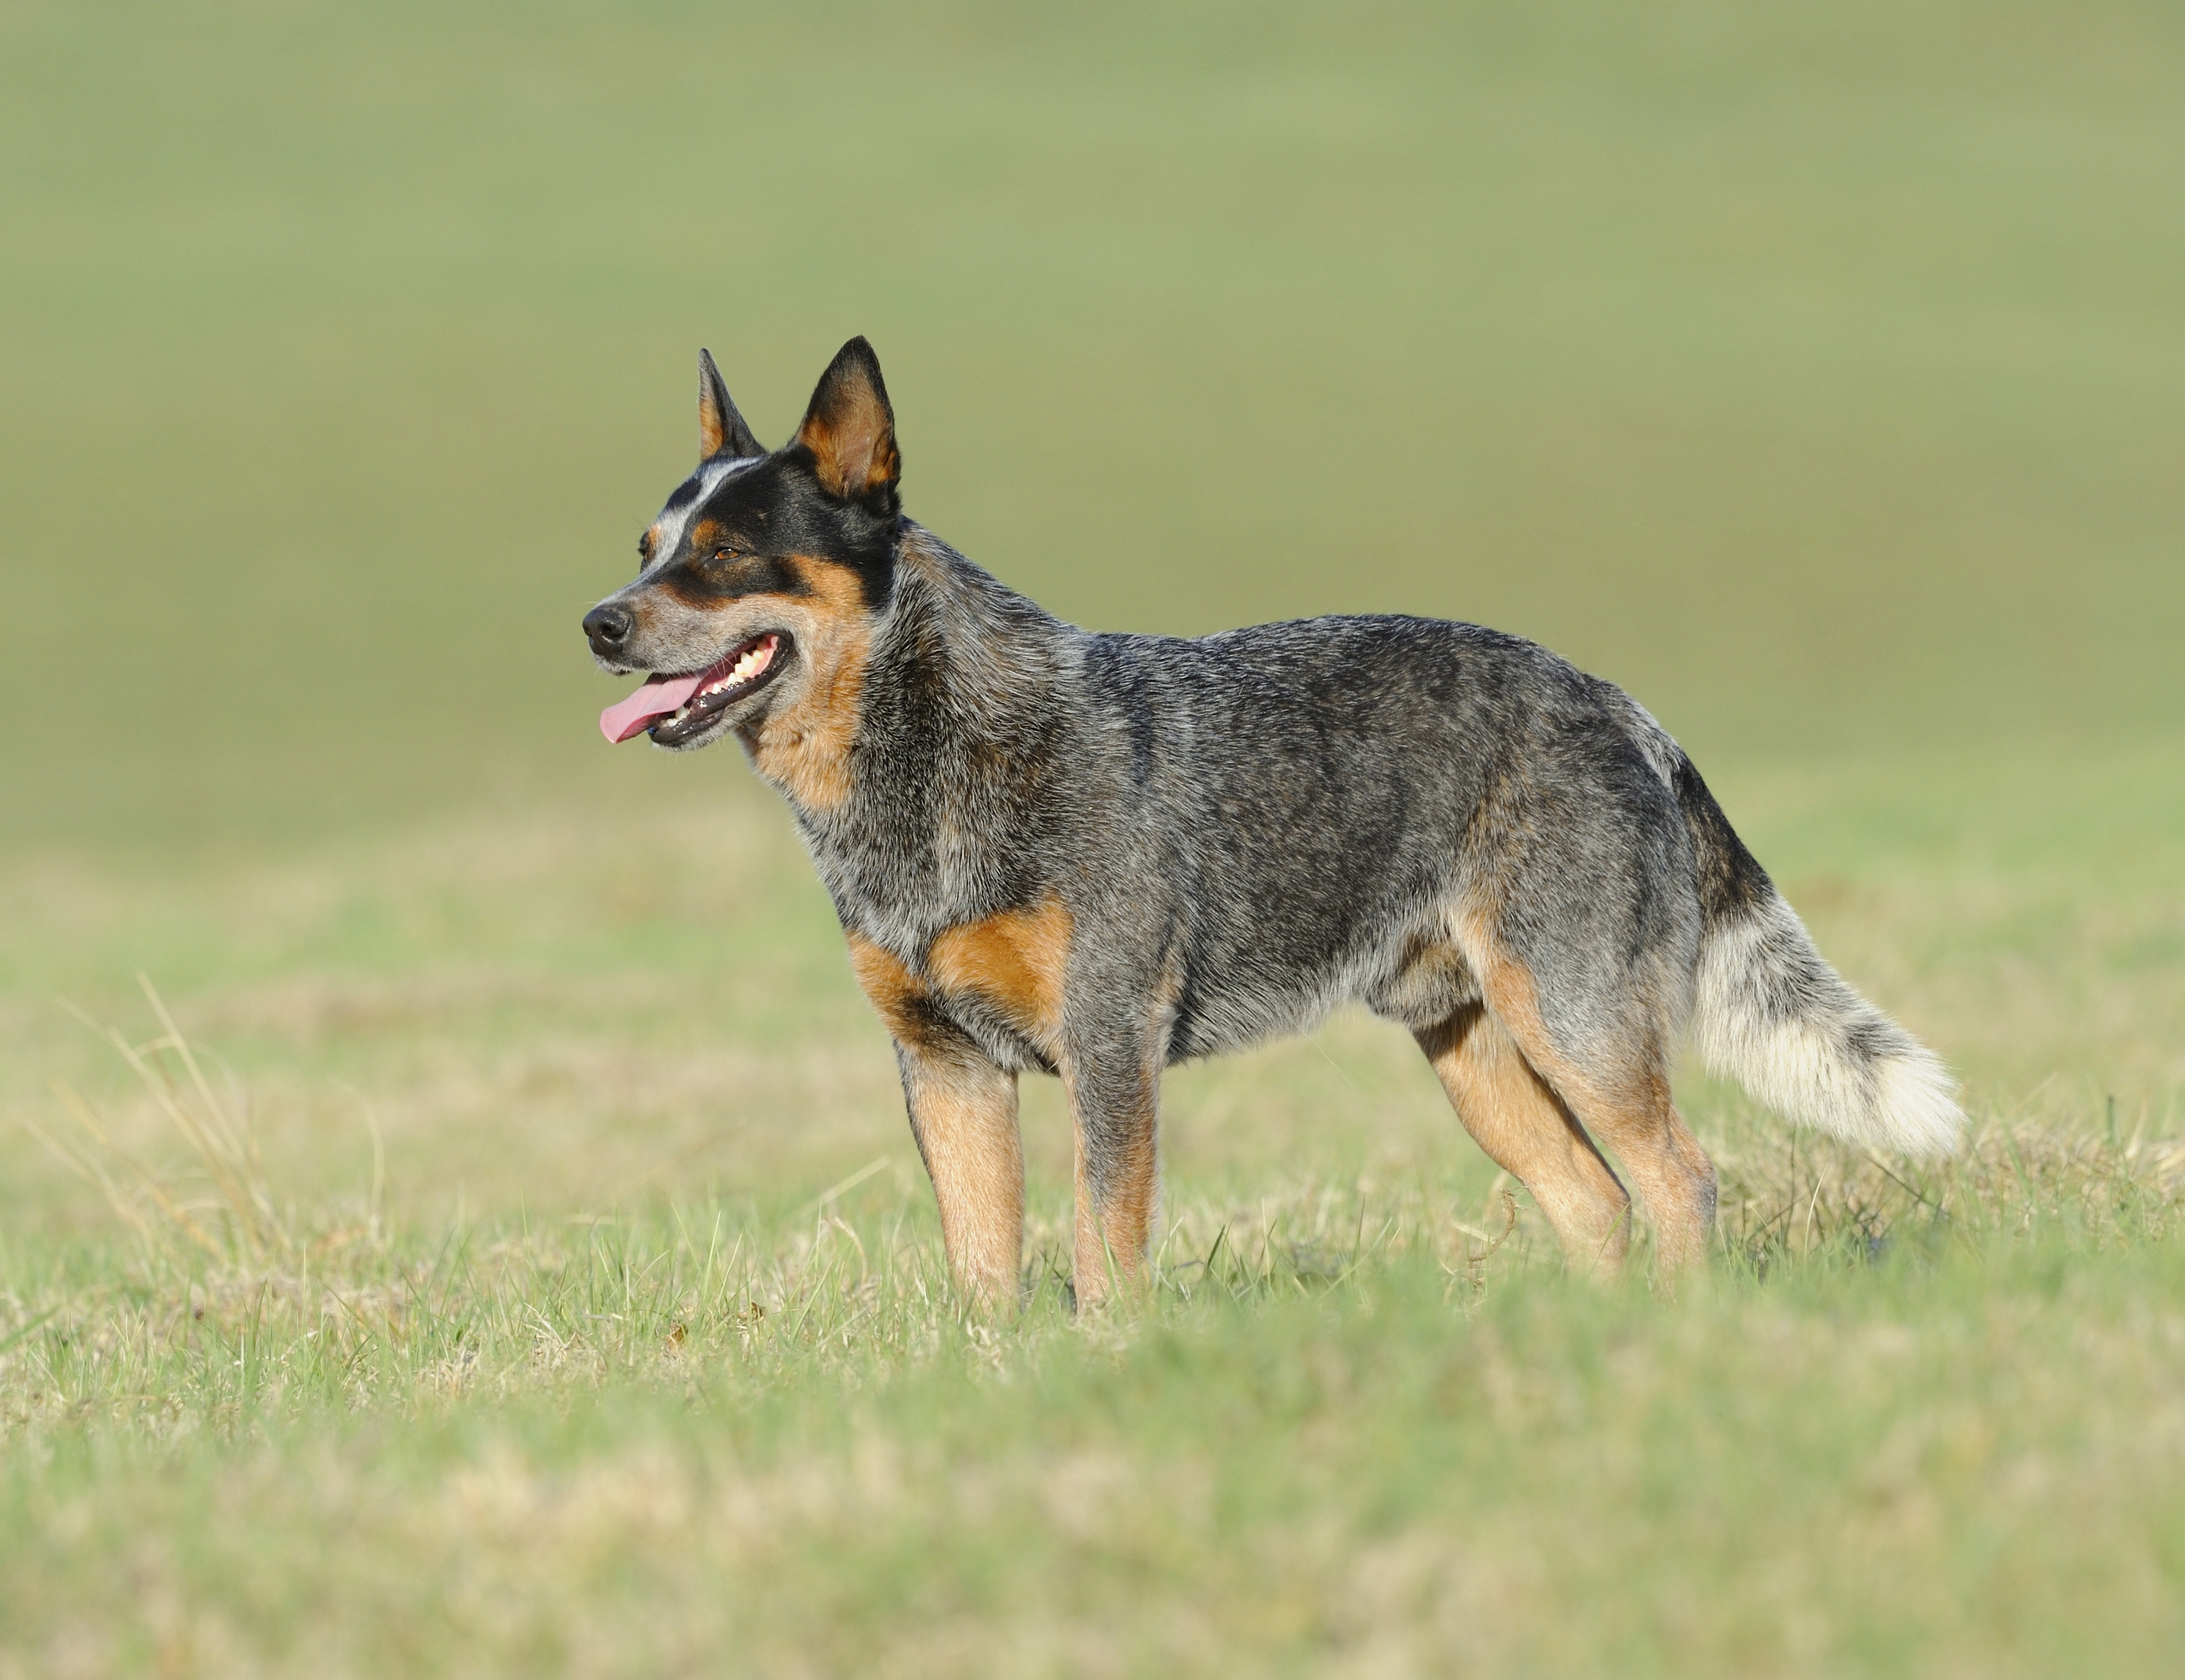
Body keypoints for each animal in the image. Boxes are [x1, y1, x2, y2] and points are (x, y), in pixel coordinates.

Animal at [585, 336, 1966, 1293]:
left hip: (1574, 1018)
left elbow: (1102, 1250)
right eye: (648, 546)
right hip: (1472, 1050)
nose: (596, 620)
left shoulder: (1107, 1039)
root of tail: (1626, 706)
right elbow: (984, 1274)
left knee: (1679, 1178)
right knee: (1596, 1202)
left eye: (726, 553)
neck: (926, 759)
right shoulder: (942, 1063)